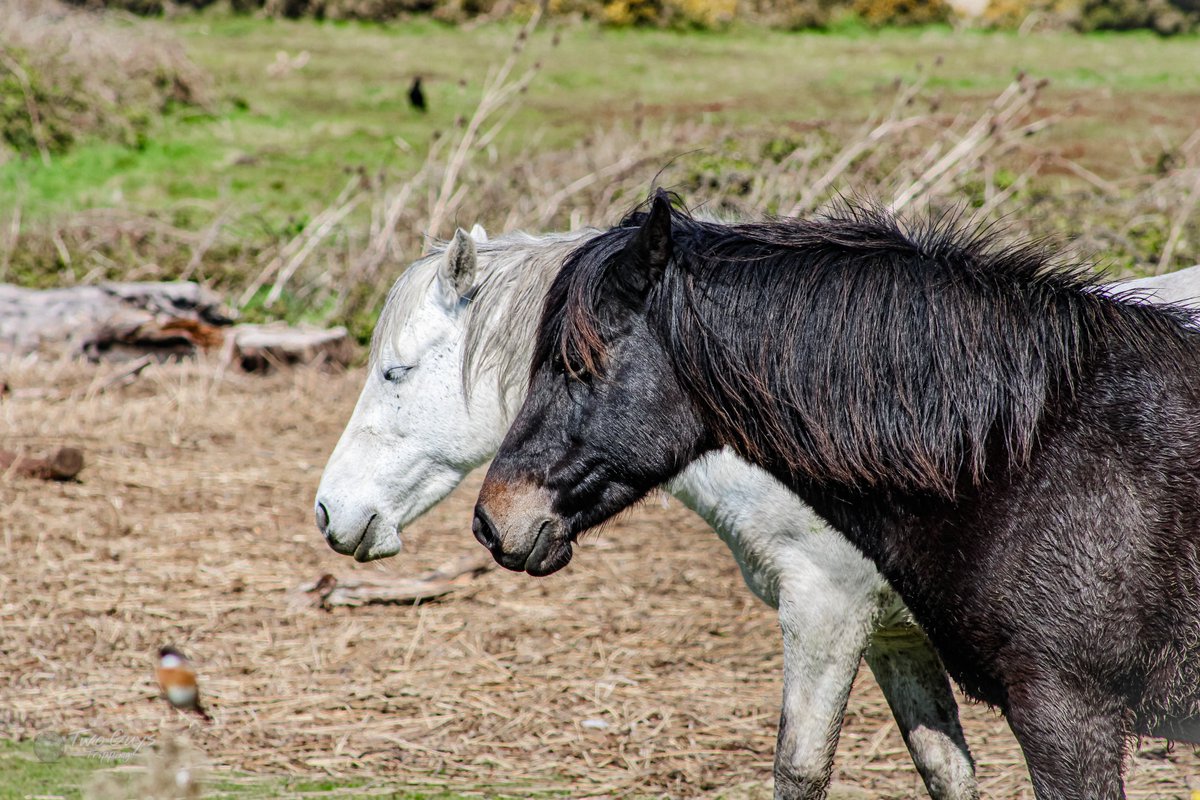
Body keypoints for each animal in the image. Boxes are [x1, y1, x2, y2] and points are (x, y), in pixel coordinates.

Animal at [314, 220, 1195, 800]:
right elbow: (946, 771)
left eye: (395, 372)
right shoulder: (896, 638)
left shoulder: (830, 615)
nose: (331, 512)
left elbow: (799, 771)